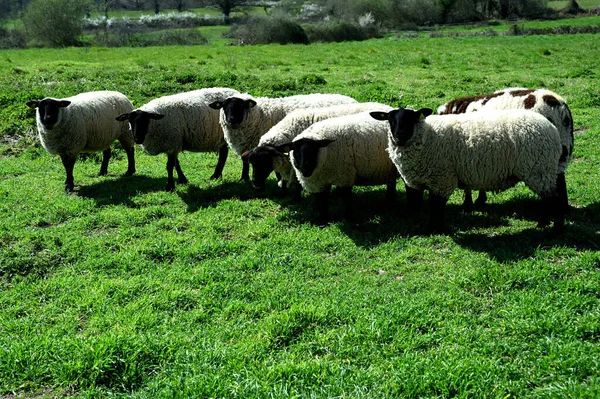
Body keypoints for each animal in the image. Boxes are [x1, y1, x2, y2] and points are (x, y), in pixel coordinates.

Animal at [207, 92, 356, 181]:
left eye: (241, 106)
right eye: (224, 107)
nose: (231, 120)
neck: (260, 115)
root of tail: (350, 98)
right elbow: (245, 161)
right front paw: (244, 178)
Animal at [241, 102, 392, 199]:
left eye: (265, 161)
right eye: (252, 163)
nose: (256, 183)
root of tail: (386, 107)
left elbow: (297, 184)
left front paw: (296, 198)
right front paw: (284, 194)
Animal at [370, 108, 568, 236]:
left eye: (411, 118)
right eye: (390, 119)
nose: (400, 135)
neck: (426, 136)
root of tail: (551, 128)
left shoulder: (442, 178)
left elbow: (436, 205)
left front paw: (435, 229)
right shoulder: (417, 181)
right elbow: (415, 204)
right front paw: (423, 226)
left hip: (539, 168)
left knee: (554, 198)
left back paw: (555, 229)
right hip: (545, 170)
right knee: (548, 198)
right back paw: (543, 224)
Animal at [436, 88, 572, 211]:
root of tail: (560, 106)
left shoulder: (466, 155)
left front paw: (469, 203)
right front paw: (479, 200)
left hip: (544, 155)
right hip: (559, 152)